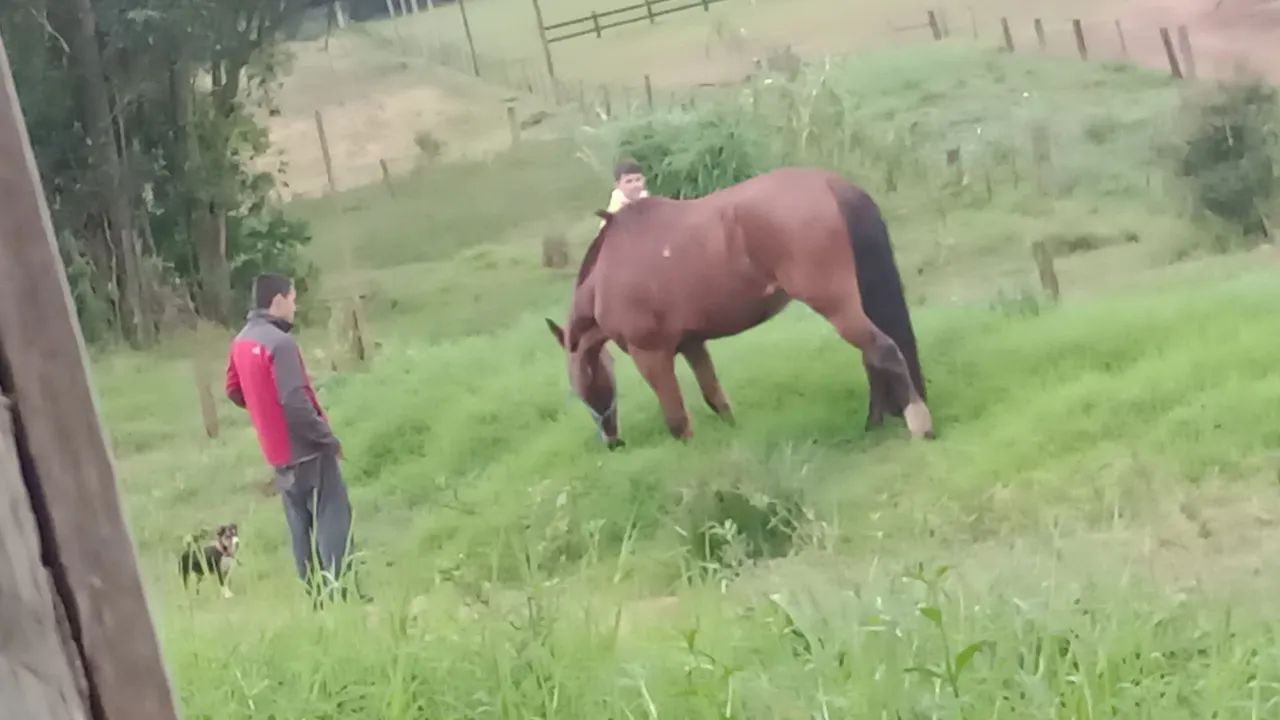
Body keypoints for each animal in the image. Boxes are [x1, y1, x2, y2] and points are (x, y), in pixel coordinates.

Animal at [546, 166, 933, 449]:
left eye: (580, 382)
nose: (611, 440)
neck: (608, 275)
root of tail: (831, 184)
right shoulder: (692, 344)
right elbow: (716, 399)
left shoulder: (651, 355)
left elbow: (678, 421)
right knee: (872, 358)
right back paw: (875, 422)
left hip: (836, 305)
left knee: (882, 351)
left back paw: (918, 424)